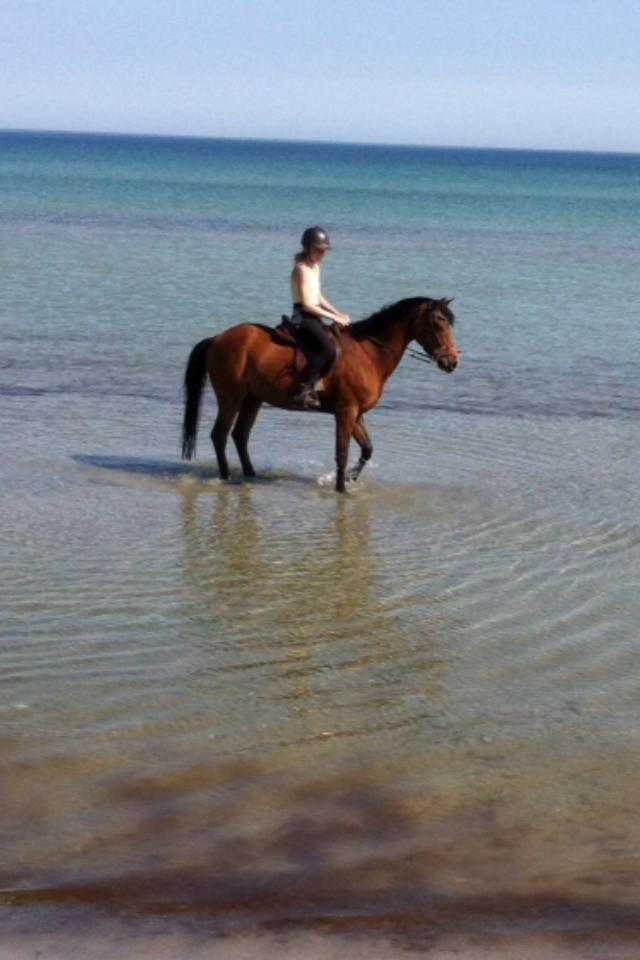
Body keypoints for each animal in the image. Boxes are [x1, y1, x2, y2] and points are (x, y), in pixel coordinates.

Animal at [181, 297, 460, 493]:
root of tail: (218, 338)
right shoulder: (345, 411)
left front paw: (350, 479)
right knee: (220, 435)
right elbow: (342, 452)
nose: (453, 362)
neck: (368, 354)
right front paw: (342, 488)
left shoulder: (356, 413)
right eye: (438, 322)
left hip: (253, 399)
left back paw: (251, 476)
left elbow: (367, 449)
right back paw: (227, 477)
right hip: (231, 397)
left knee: (240, 435)